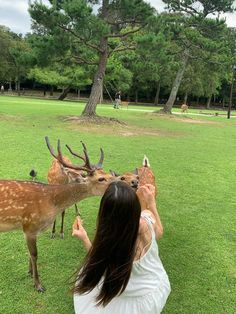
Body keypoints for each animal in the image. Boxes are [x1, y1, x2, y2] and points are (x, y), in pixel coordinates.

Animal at [0, 137, 115, 292]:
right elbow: (34, 254)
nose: (126, 183)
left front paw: (30, 272)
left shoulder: (30, 229)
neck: (51, 202)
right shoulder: (30, 225)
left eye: (109, 174)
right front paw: (38, 285)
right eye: (101, 179)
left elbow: (29, 253)